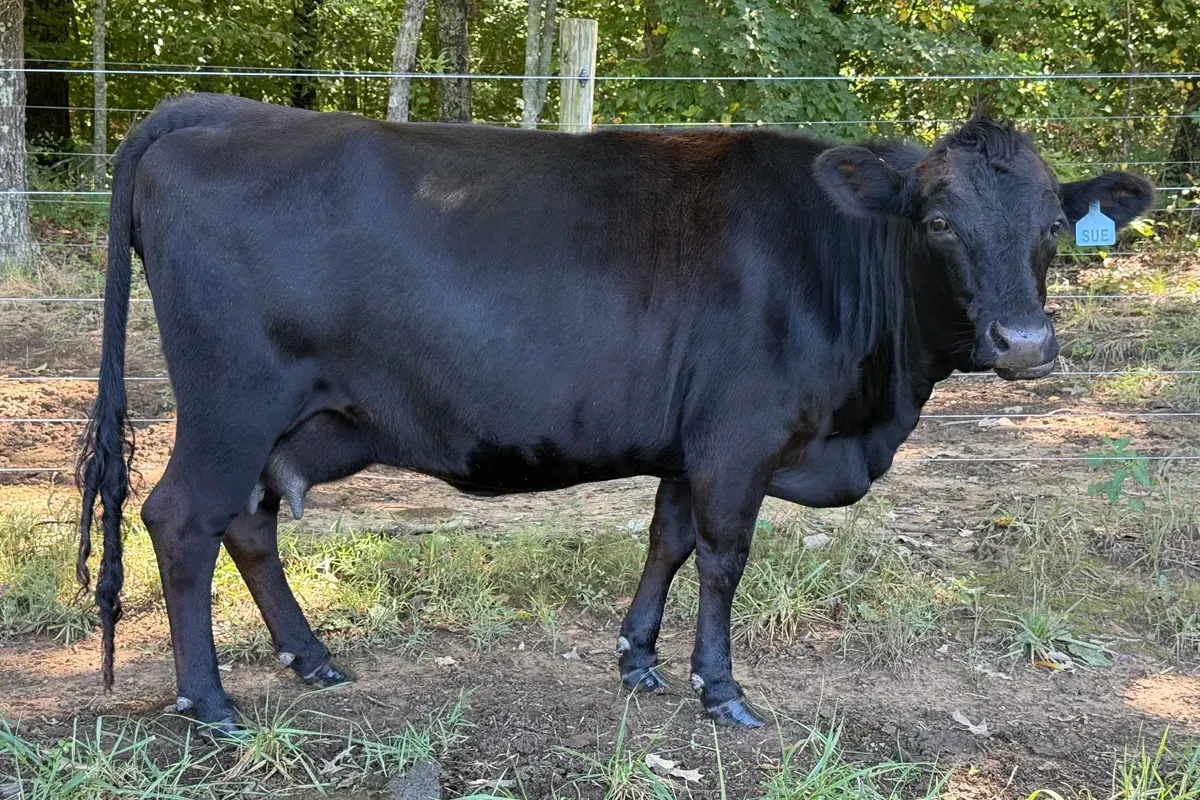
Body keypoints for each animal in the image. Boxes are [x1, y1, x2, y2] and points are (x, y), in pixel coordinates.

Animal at [76, 92, 1154, 733]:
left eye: (1052, 226)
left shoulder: (692, 440)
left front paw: (638, 659)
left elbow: (667, 539)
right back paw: (209, 699)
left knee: (249, 525)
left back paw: (312, 659)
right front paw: (722, 688)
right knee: (183, 518)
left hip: (291, 421)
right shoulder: (739, 437)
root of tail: (224, 111)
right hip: (230, 401)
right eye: (936, 221)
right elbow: (723, 557)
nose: (1026, 343)